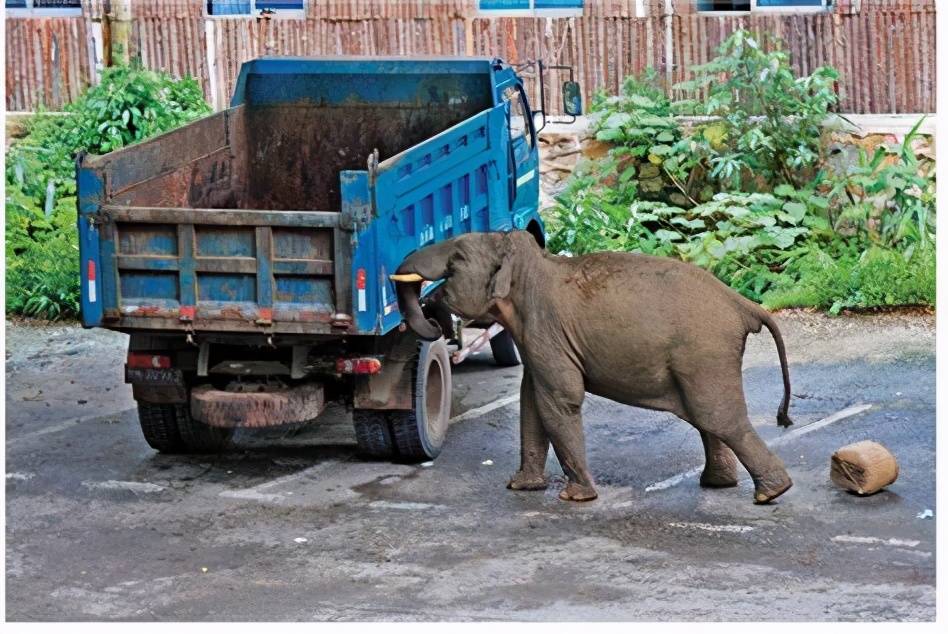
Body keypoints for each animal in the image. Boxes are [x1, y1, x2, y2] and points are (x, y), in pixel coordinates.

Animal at [391, 231, 793, 504]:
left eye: (456, 260)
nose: (436, 323)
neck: (530, 261)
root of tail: (744, 304)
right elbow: (531, 403)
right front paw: (521, 487)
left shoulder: (545, 329)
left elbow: (560, 399)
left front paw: (575, 498)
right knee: (705, 417)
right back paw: (723, 485)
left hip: (704, 353)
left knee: (716, 416)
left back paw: (771, 494)